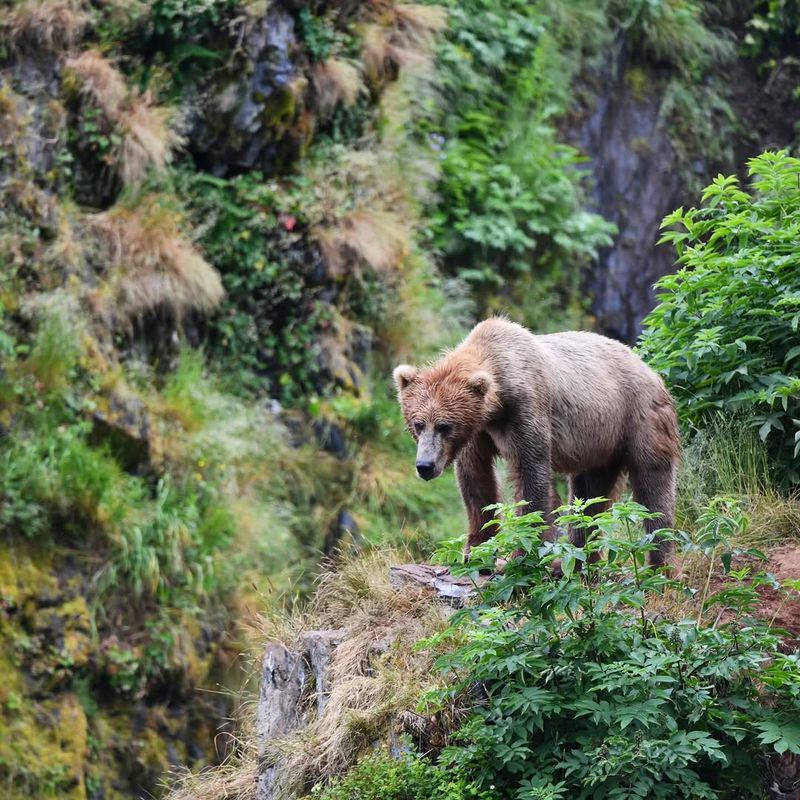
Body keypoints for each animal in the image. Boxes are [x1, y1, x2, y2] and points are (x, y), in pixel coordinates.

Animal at [394, 316, 680, 564]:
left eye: (444, 426)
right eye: (418, 424)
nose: (425, 466)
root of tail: (651, 369)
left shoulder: (525, 409)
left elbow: (531, 473)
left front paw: (521, 556)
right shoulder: (478, 433)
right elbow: (476, 481)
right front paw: (475, 552)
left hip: (638, 418)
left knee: (653, 484)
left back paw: (660, 563)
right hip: (599, 442)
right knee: (590, 495)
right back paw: (578, 562)